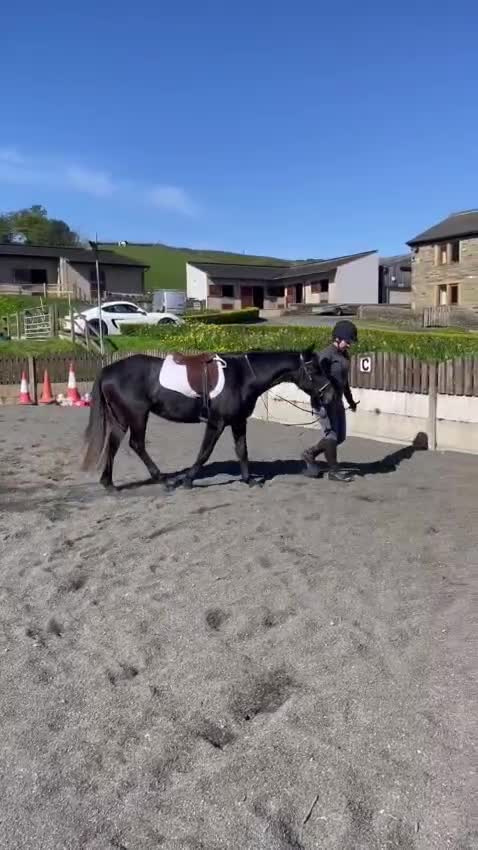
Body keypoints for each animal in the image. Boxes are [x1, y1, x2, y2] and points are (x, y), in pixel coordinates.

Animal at [81, 349, 334, 490]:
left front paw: (249, 480)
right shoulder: (217, 422)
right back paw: (164, 480)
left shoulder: (238, 421)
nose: (330, 395)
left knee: (113, 444)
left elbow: (242, 450)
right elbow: (205, 452)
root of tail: (108, 370)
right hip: (136, 416)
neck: (243, 376)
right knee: (136, 444)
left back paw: (109, 484)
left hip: (121, 418)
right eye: (315, 369)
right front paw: (188, 480)